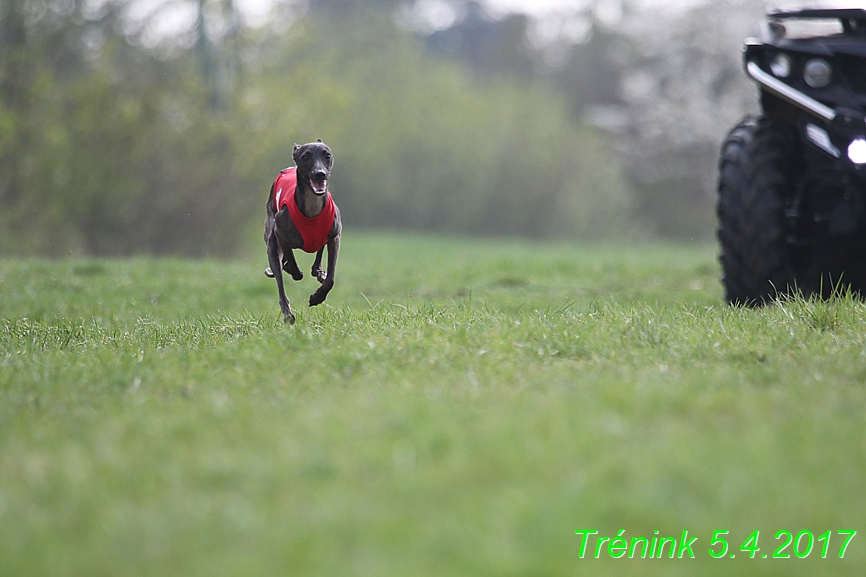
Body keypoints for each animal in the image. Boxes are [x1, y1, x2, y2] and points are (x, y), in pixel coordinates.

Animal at [264, 137, 340, 322]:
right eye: (305, 157)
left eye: (327, 155)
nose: (320, 173)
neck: (312, 208)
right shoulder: (280, 233)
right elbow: (293, 266)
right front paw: (293, 269)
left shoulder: (334, 237)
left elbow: (331, 278)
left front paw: (317, 296)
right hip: (271, 242)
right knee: (280, 283)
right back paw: (287, 313)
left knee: (317, 258)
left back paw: (318, 272)